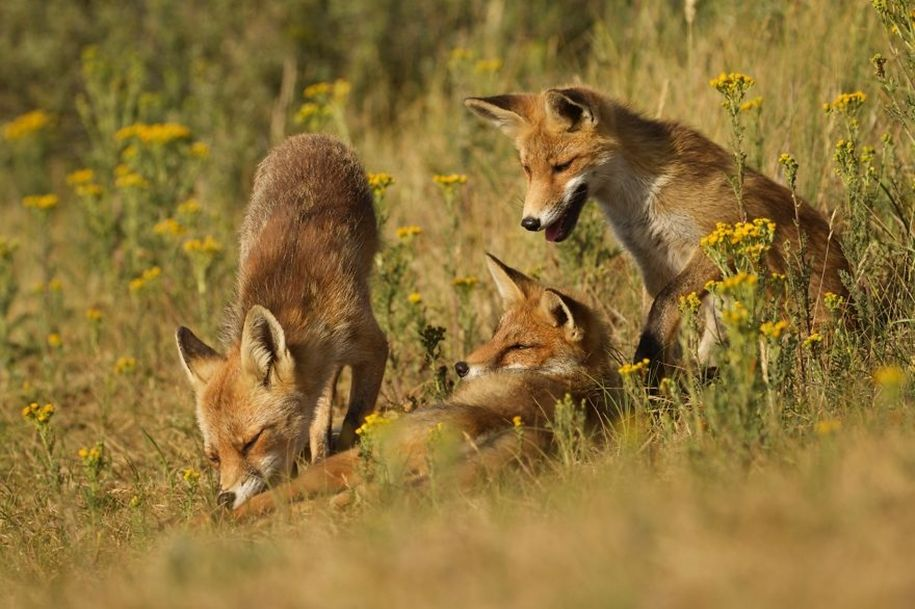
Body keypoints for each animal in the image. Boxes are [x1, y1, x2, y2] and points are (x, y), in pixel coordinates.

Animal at [175, 135, 386, 510]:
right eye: (214, 457)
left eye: (251, 441)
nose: (224, 500)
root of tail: (307, 138)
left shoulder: (371, 344)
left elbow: (355, 417)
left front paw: (345, 458)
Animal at [227, 254, 624, 520]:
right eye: (497, 334)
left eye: (520, 347)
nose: (462, 366)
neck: (571, 376)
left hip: (356, 458)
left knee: (281, 501)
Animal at [466, 86, 852, 376]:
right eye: (527, 169)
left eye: (563, 166)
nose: (530, 222)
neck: (640, 201)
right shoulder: (653, 260)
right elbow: (667, 318)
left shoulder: (718, 237)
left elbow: (663, 307)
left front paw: (649, 368)